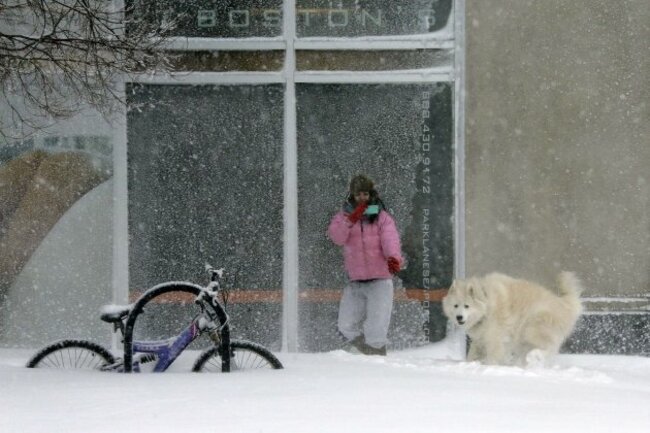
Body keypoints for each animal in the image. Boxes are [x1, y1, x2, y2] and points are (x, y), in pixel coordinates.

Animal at [442, 272, 583, 367]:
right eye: (456, 306)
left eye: (467, 306)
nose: (459, 317)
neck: (487, 305)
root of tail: (564, 304)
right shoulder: (480, 339)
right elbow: (472, 354)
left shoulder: (495, 338)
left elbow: (493, 355)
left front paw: (490, 366)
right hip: (524, 338)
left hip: (533, 328)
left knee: (549, 347)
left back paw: (535, 355)